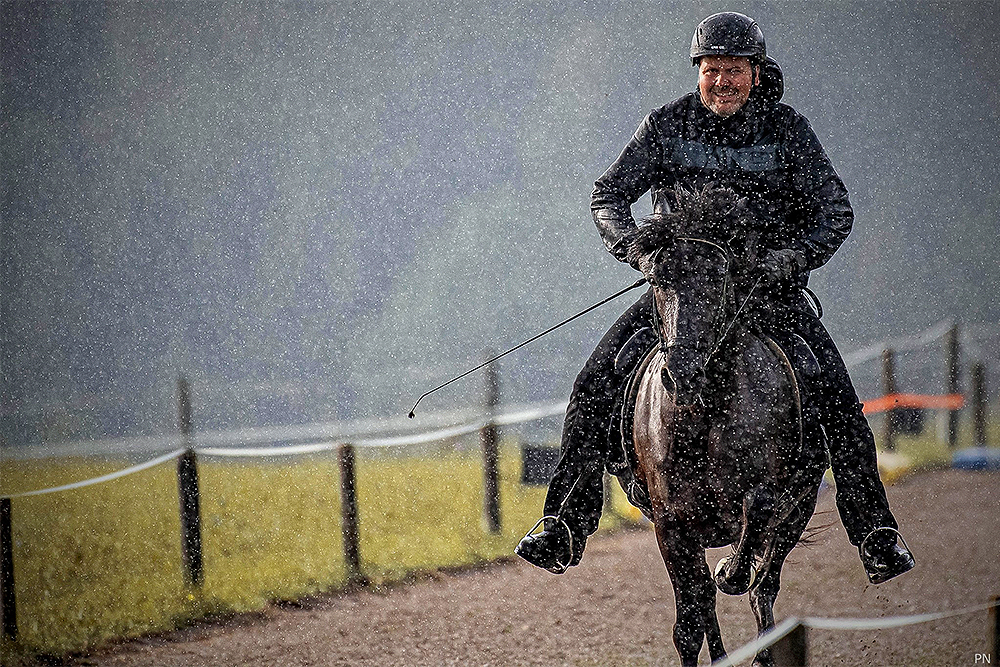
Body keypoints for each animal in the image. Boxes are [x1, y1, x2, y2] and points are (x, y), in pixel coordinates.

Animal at [624, 184, 828, 667]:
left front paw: (729, 570)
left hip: (800, 507)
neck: (704, 413)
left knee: (762, 588)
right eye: (659, 280)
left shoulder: (770, 499)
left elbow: (747, 549)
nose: (682, 373)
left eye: (718, 279)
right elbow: (689, 622)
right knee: (705, 606)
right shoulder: (671, 525)